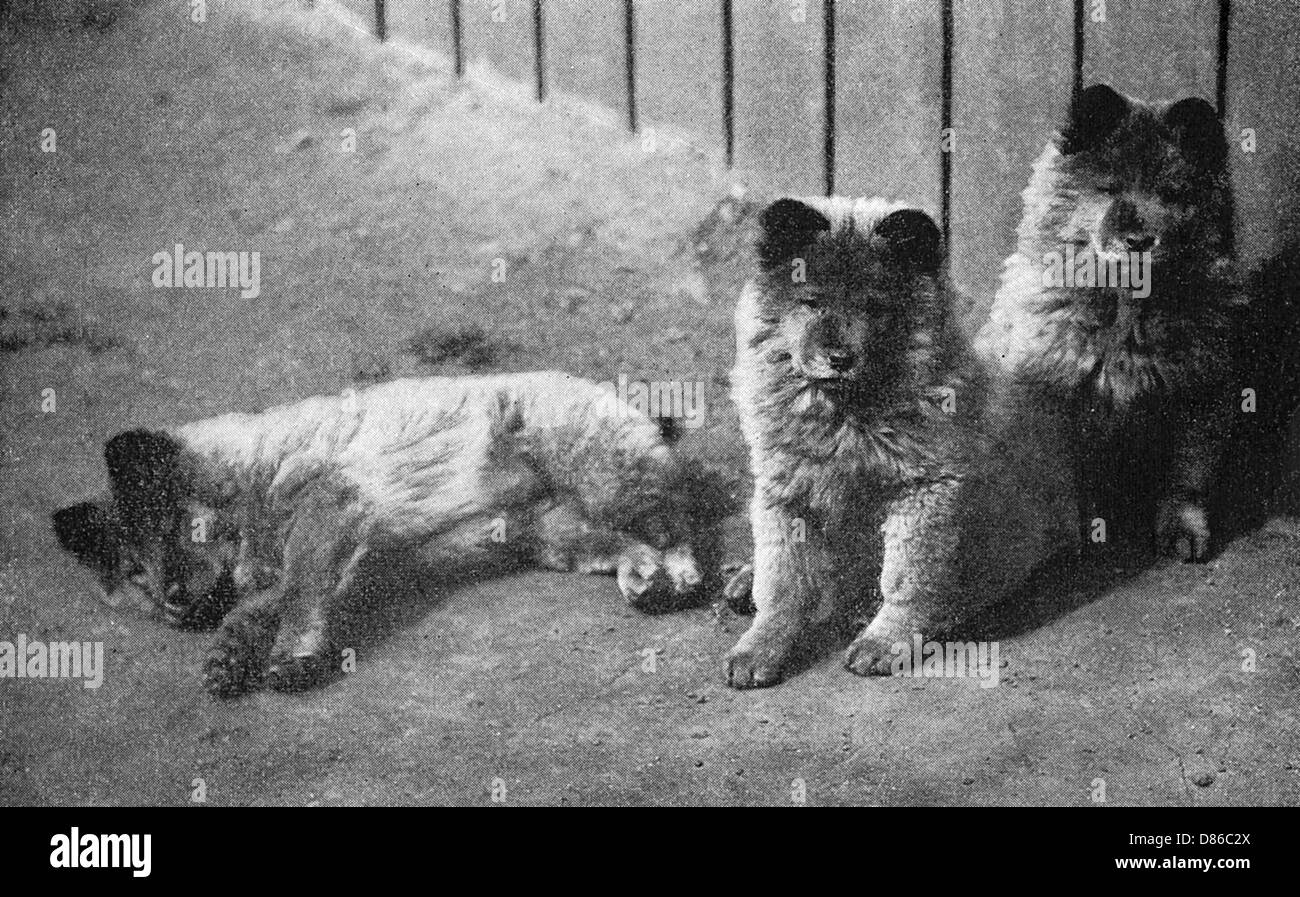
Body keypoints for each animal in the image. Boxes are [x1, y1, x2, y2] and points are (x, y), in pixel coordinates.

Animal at [50, 369, 707, 691]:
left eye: (173, 531)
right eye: (135, 573)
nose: (171, 602)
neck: (243, 478)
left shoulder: (328, 505)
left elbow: (296, 588)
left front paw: (289, 654)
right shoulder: (351, 558)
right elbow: (266, 603)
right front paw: (232, 657)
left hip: (596, 472)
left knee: (676, 521)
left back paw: (678, 573)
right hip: (550, 531)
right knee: (625, 537)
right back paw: (642, 573)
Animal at [728, 197, 1071, 686]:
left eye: (874, 307)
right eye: (811, 302)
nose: (839, 358)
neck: (846, 416)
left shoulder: (924, 490)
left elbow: (905, 578)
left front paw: (882, 643)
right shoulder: (784, 493)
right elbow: (782, 582)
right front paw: (759, 647)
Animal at [977, 85, 1237, 559]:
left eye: (1171, 195)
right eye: (1109, 189)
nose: (1139, 240)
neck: (1127, 311)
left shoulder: (1200, 392)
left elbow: (1186, 477)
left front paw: (1184, 530)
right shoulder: (1051, 397)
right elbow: (1066, 478)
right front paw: (1080, 530)